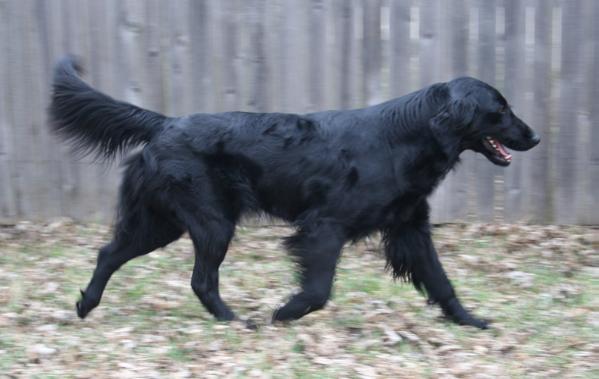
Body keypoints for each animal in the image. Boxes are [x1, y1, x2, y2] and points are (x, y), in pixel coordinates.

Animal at [50, 55, 540, 330]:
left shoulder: (410, 229)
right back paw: (234, 321)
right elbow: (319, 289)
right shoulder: (324, 226)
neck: (406, 136)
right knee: (200, 279)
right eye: (499, 110)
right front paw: (286, 313)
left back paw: (85, 305)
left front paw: (470, 320)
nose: (534, 137)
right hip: (211, 222)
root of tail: (165, 123)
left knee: (109, 254)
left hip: (163, 222)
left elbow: (441, 282)